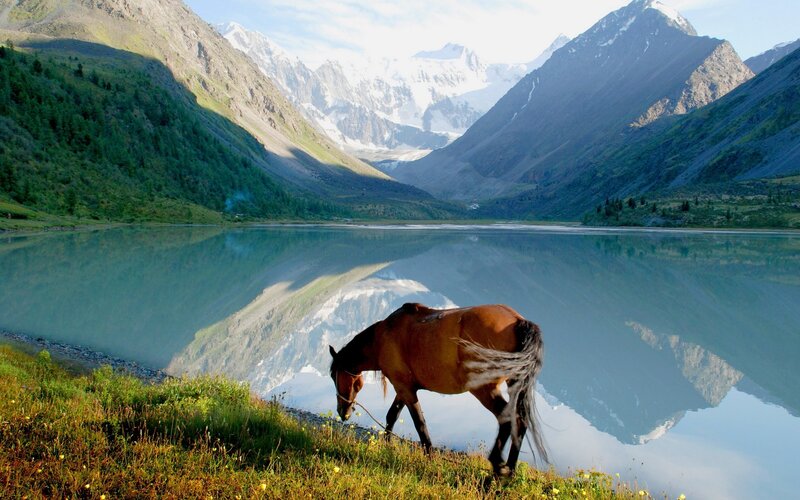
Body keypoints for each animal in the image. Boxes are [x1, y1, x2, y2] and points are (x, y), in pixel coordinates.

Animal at [328, 302, 547, 477]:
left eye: (333, 375)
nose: (343, 412)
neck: (383, 337)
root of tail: (518, 321)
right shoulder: (403, 388)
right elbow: (392, 415)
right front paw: (387, 445)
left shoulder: (405, 389)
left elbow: (419, 424)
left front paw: (429, 458)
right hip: (513, 385)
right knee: (519, 421)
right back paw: (509, 471)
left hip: (484, 389)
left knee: (506, 418)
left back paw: (496, 469)